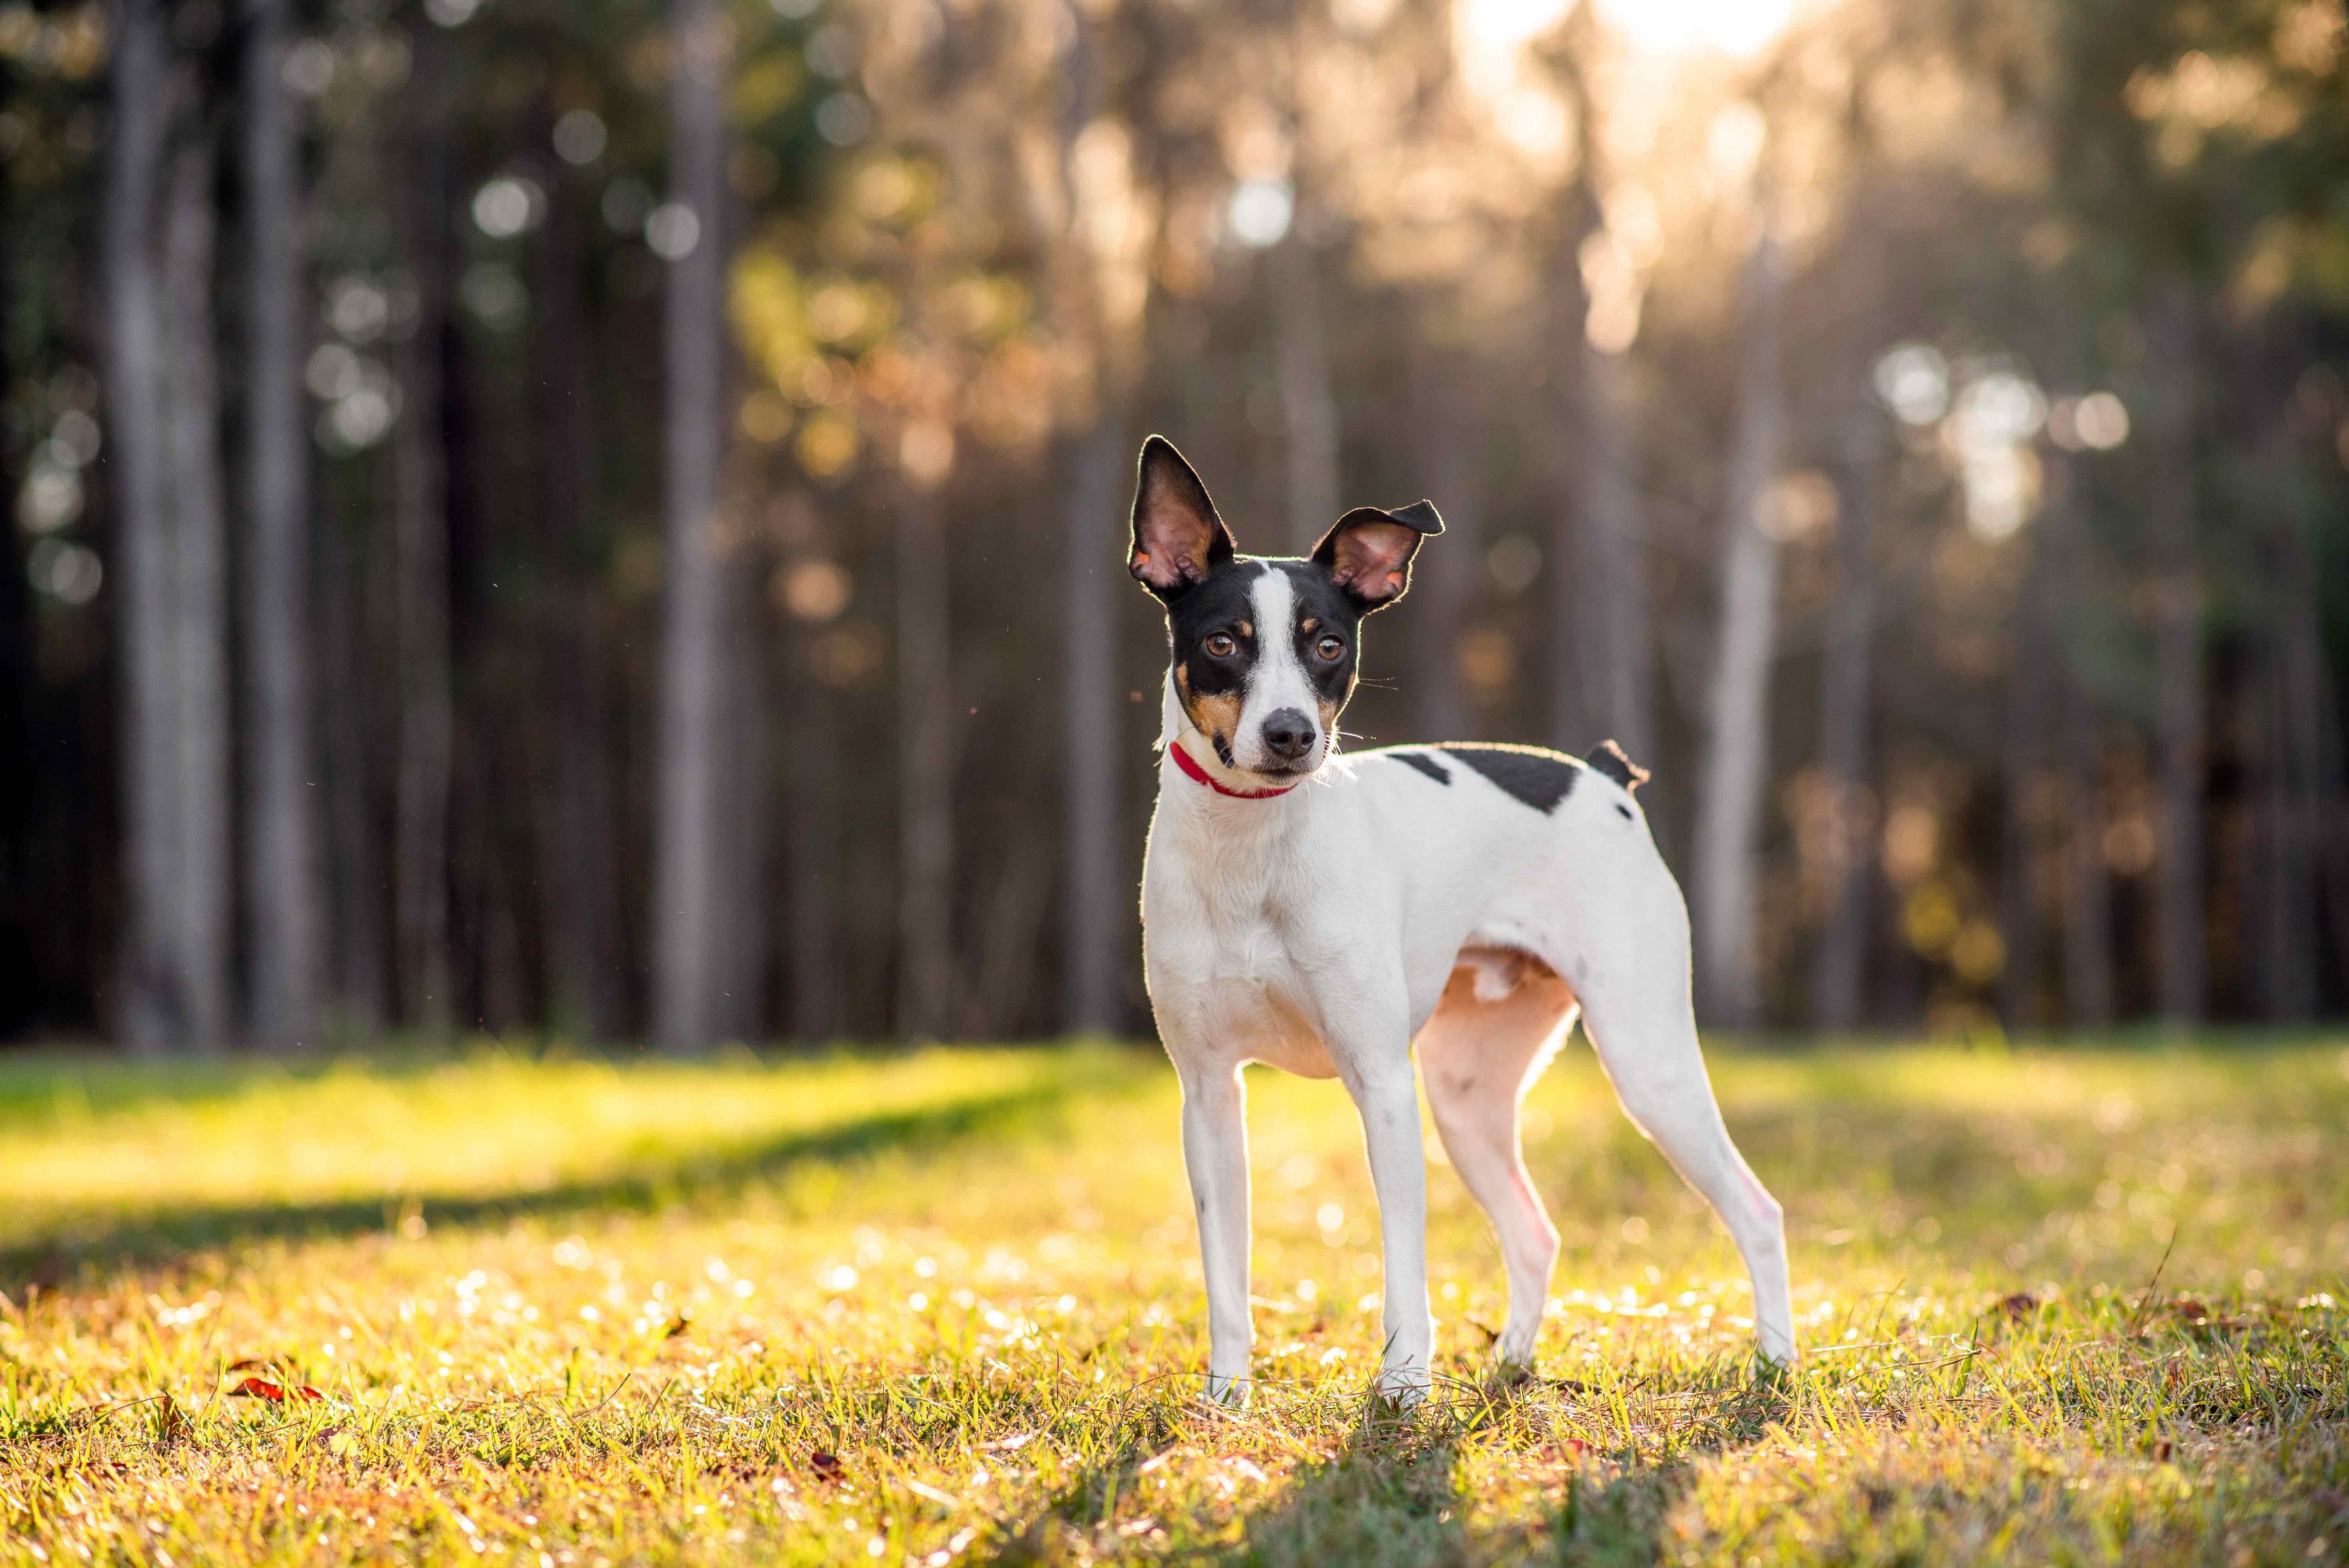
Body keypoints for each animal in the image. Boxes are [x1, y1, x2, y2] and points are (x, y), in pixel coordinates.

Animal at [1128, 434, 1785, 1399]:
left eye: (1328, 644)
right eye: (1221, 641)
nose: (1291, 734)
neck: (1253, 853)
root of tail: (1602, 779)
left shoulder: (1382, 1085)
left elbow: (1405, 1261)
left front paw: (1403, 1385)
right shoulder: (1208, 1096)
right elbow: (1226, 1277)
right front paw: (1227, 1397)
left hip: (1647, 1063)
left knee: (1757, 1209)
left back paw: (1776, 1363)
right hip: (1469, 1096)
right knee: (1536, 1233)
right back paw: (1510, 1365)